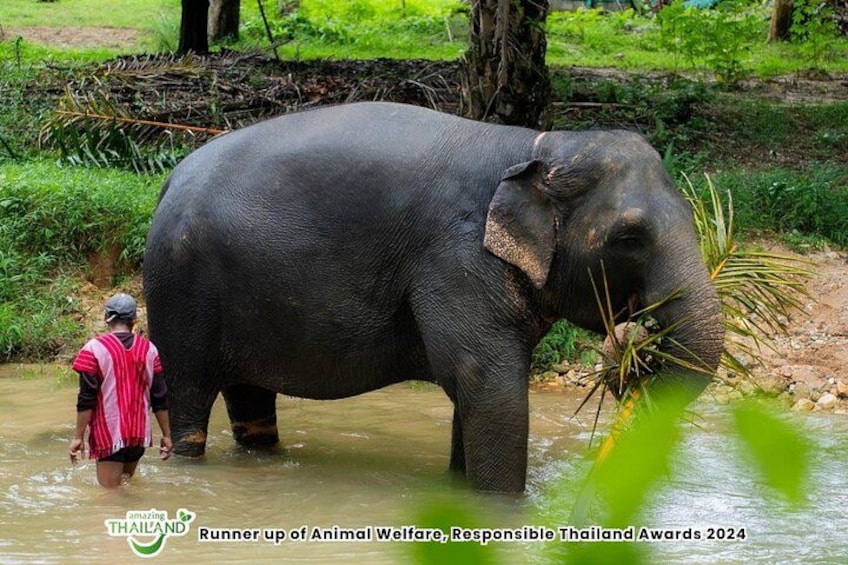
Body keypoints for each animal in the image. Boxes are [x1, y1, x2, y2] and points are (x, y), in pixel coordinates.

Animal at [143, 101, 724, 493]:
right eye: (629, 237)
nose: (637, 345)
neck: (538, 148)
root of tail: (171, 178)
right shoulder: (456, 258)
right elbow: (484, 380)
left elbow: (476, 394)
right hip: (179, 290)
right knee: (190, 396)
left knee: (251, 399)